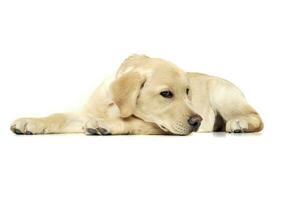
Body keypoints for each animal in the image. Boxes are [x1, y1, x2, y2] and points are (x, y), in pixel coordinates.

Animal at [10, 54, 262, 135]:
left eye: (188, 92)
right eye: (166, 94)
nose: (197, 121)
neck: (112, 106)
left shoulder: (157, 126)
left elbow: (129, 122)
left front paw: (105, 125)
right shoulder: (84, 113)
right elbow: (59, 116)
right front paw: (31, 122)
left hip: (223, 94)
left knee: (256, 117)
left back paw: (238, 123)